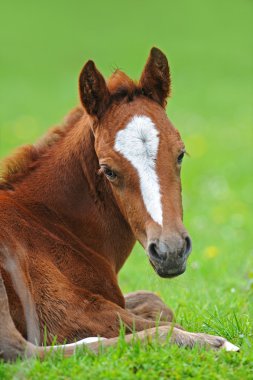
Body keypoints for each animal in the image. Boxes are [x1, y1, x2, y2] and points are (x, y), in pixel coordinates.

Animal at [0, 47, 238, 360]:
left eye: (180, 154)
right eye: (108, 170)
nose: (171, 251)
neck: (47, 223)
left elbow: (156, 302)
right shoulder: (62, 312)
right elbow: (160, 323)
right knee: (20, 349)